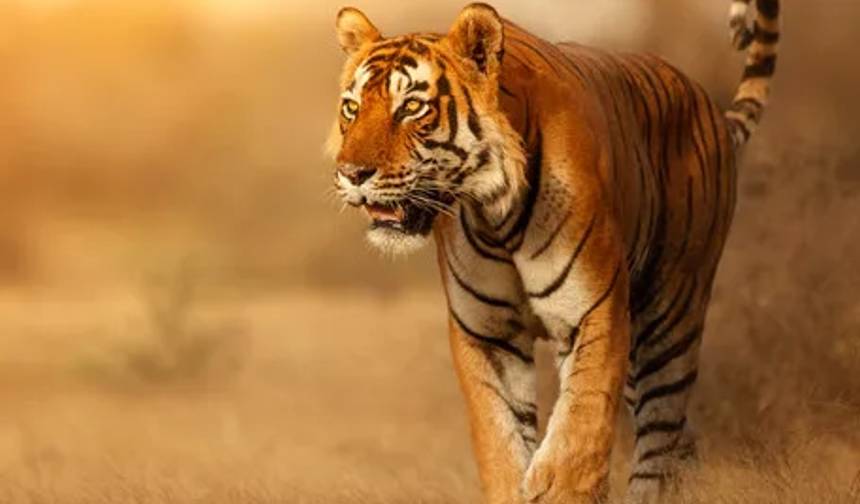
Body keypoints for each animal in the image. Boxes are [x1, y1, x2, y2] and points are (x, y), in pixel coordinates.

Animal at [327, 1, 780, 502]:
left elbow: (579, 434)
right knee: (683, 439)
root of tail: (710, 108)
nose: (351, 172)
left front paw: (556, 481)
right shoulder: (487, 333)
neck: (494, 215)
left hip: (669, 320)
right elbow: (500, 442)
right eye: (351, 108)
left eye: (411, 107)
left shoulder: (595, 310)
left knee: (660, 442)